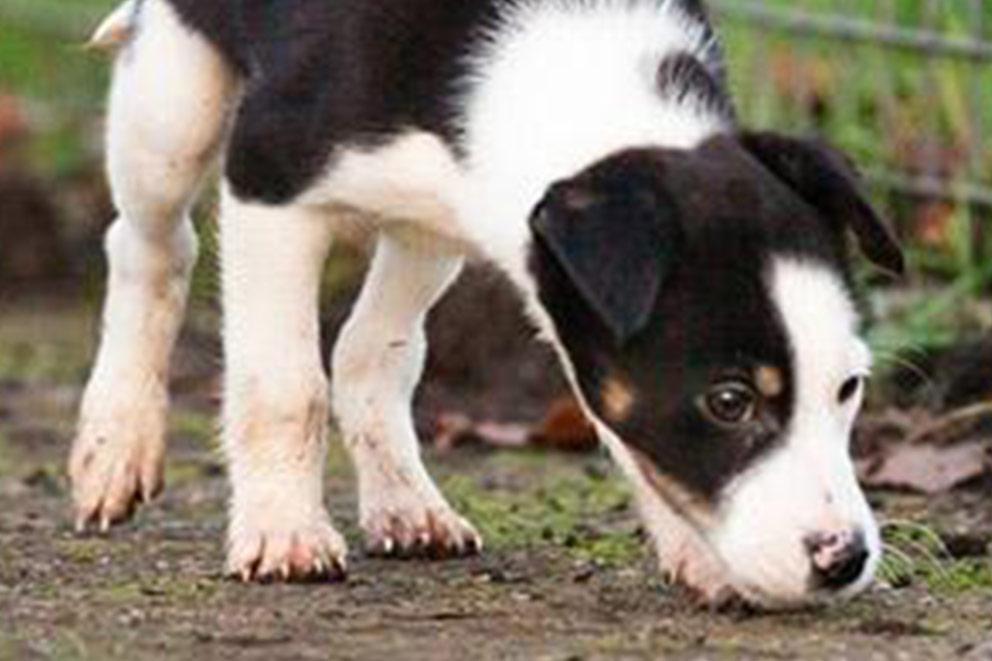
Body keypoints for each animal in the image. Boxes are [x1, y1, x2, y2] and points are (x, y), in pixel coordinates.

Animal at [73, 0, 904, 608]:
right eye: (728, 400)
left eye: (849, 388)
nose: (846, 559)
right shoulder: (270, 181)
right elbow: (283, 387)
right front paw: (285, 532)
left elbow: (628, 432)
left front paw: (698, 554)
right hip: (174, 105)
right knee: (150, 244)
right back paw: (116, 446)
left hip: (431, 223)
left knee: (371, 347)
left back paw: (408, 506)